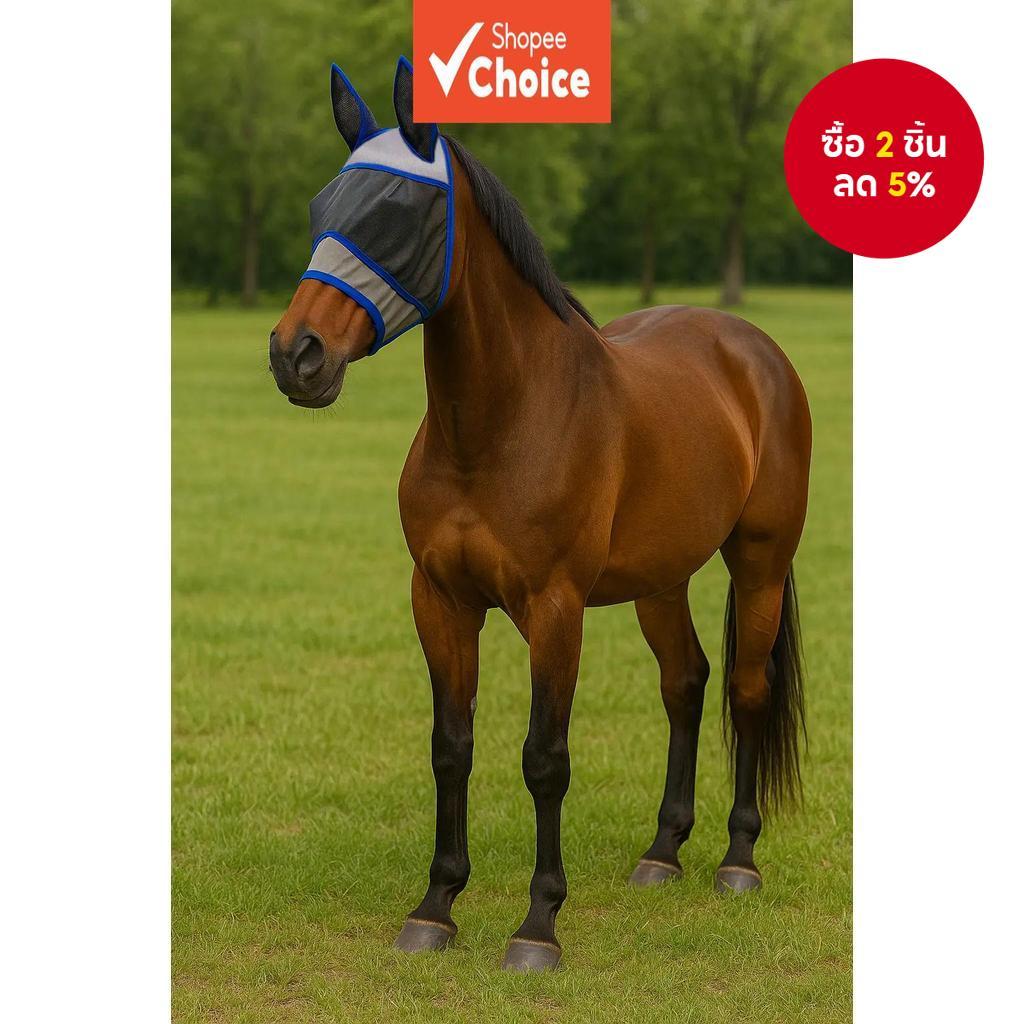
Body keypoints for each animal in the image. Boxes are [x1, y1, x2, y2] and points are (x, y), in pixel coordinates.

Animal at [269, 58, 811, 973]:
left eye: (399, 211)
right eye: (321, 208)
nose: (295, 355)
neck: (497, 426)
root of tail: (752, 350)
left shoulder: (555, 609)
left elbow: (543, 759)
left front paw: (537, 926)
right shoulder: (440, 602)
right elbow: (451, 748)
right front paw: (436, 907)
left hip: (760, 563)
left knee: (745, 688)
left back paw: (738, 860)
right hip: (659, 581)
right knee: (686, 682)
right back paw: (662, 853)